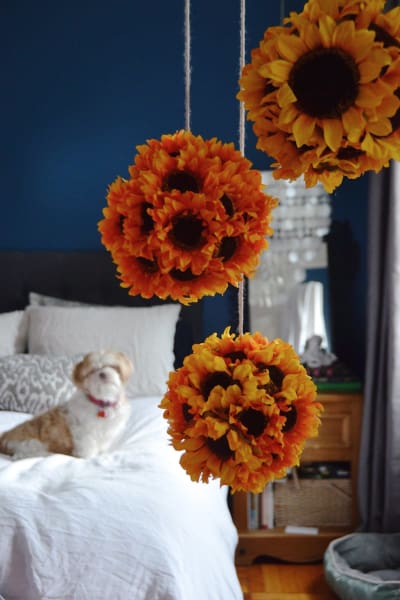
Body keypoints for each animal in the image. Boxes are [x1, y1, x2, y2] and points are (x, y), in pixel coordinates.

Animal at [0, 352, 134, 460]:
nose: (102, 374)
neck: (102, 403)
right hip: (30, 444)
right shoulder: (84, 431)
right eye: (92, 371)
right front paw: (89, 458)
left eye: (113, 367)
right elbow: (87, 446)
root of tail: (4, 436)